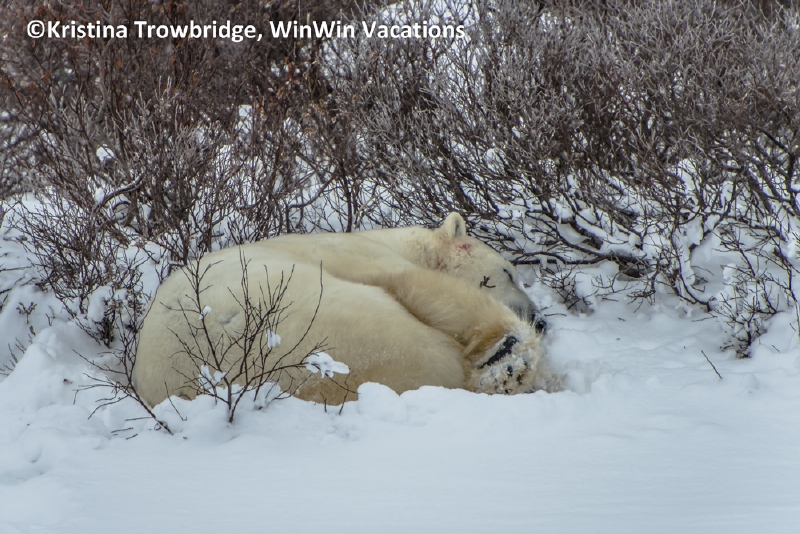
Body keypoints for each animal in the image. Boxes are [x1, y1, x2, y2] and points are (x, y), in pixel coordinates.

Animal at [132, 212, 558, 407]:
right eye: (508, 272)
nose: (540, 319)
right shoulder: (357, 256)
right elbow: (421, 286)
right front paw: (508, 346)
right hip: (326, 315)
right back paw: (509, 366)